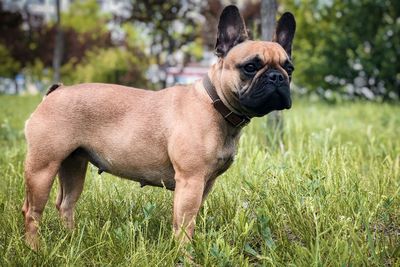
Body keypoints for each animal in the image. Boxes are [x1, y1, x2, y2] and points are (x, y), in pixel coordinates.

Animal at [23, 4, 296, 251]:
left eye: (289, 68)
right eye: (250, 67)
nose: (277, 77)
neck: (215, 104)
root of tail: (56, 91)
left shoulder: (205, 184)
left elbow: (189, 220)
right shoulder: (191, 181)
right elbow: (185, 226)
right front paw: (185, 255)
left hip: (73, 165)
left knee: (66, 204)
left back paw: (72, 240)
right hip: (42, 167)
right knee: (32, 211)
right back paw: (36, 250)